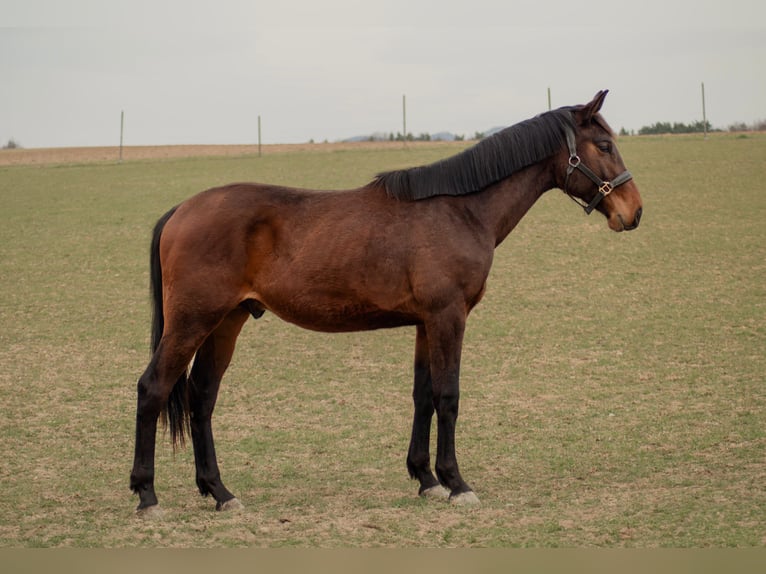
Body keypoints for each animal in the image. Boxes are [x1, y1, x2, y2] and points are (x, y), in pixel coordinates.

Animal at [130, 90, 642, 516]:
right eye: (603, 144)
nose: (633, 212)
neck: (461, 209)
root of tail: (181, 210)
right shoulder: (448, 317)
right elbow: (448, 396)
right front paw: (457, 483)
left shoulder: (424, 323)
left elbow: (423, 395)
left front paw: (427, 479)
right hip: (193, 322)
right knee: (153, 388)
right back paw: (148, 495)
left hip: (226, 322)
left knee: (201, 397)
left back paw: (219, 492)